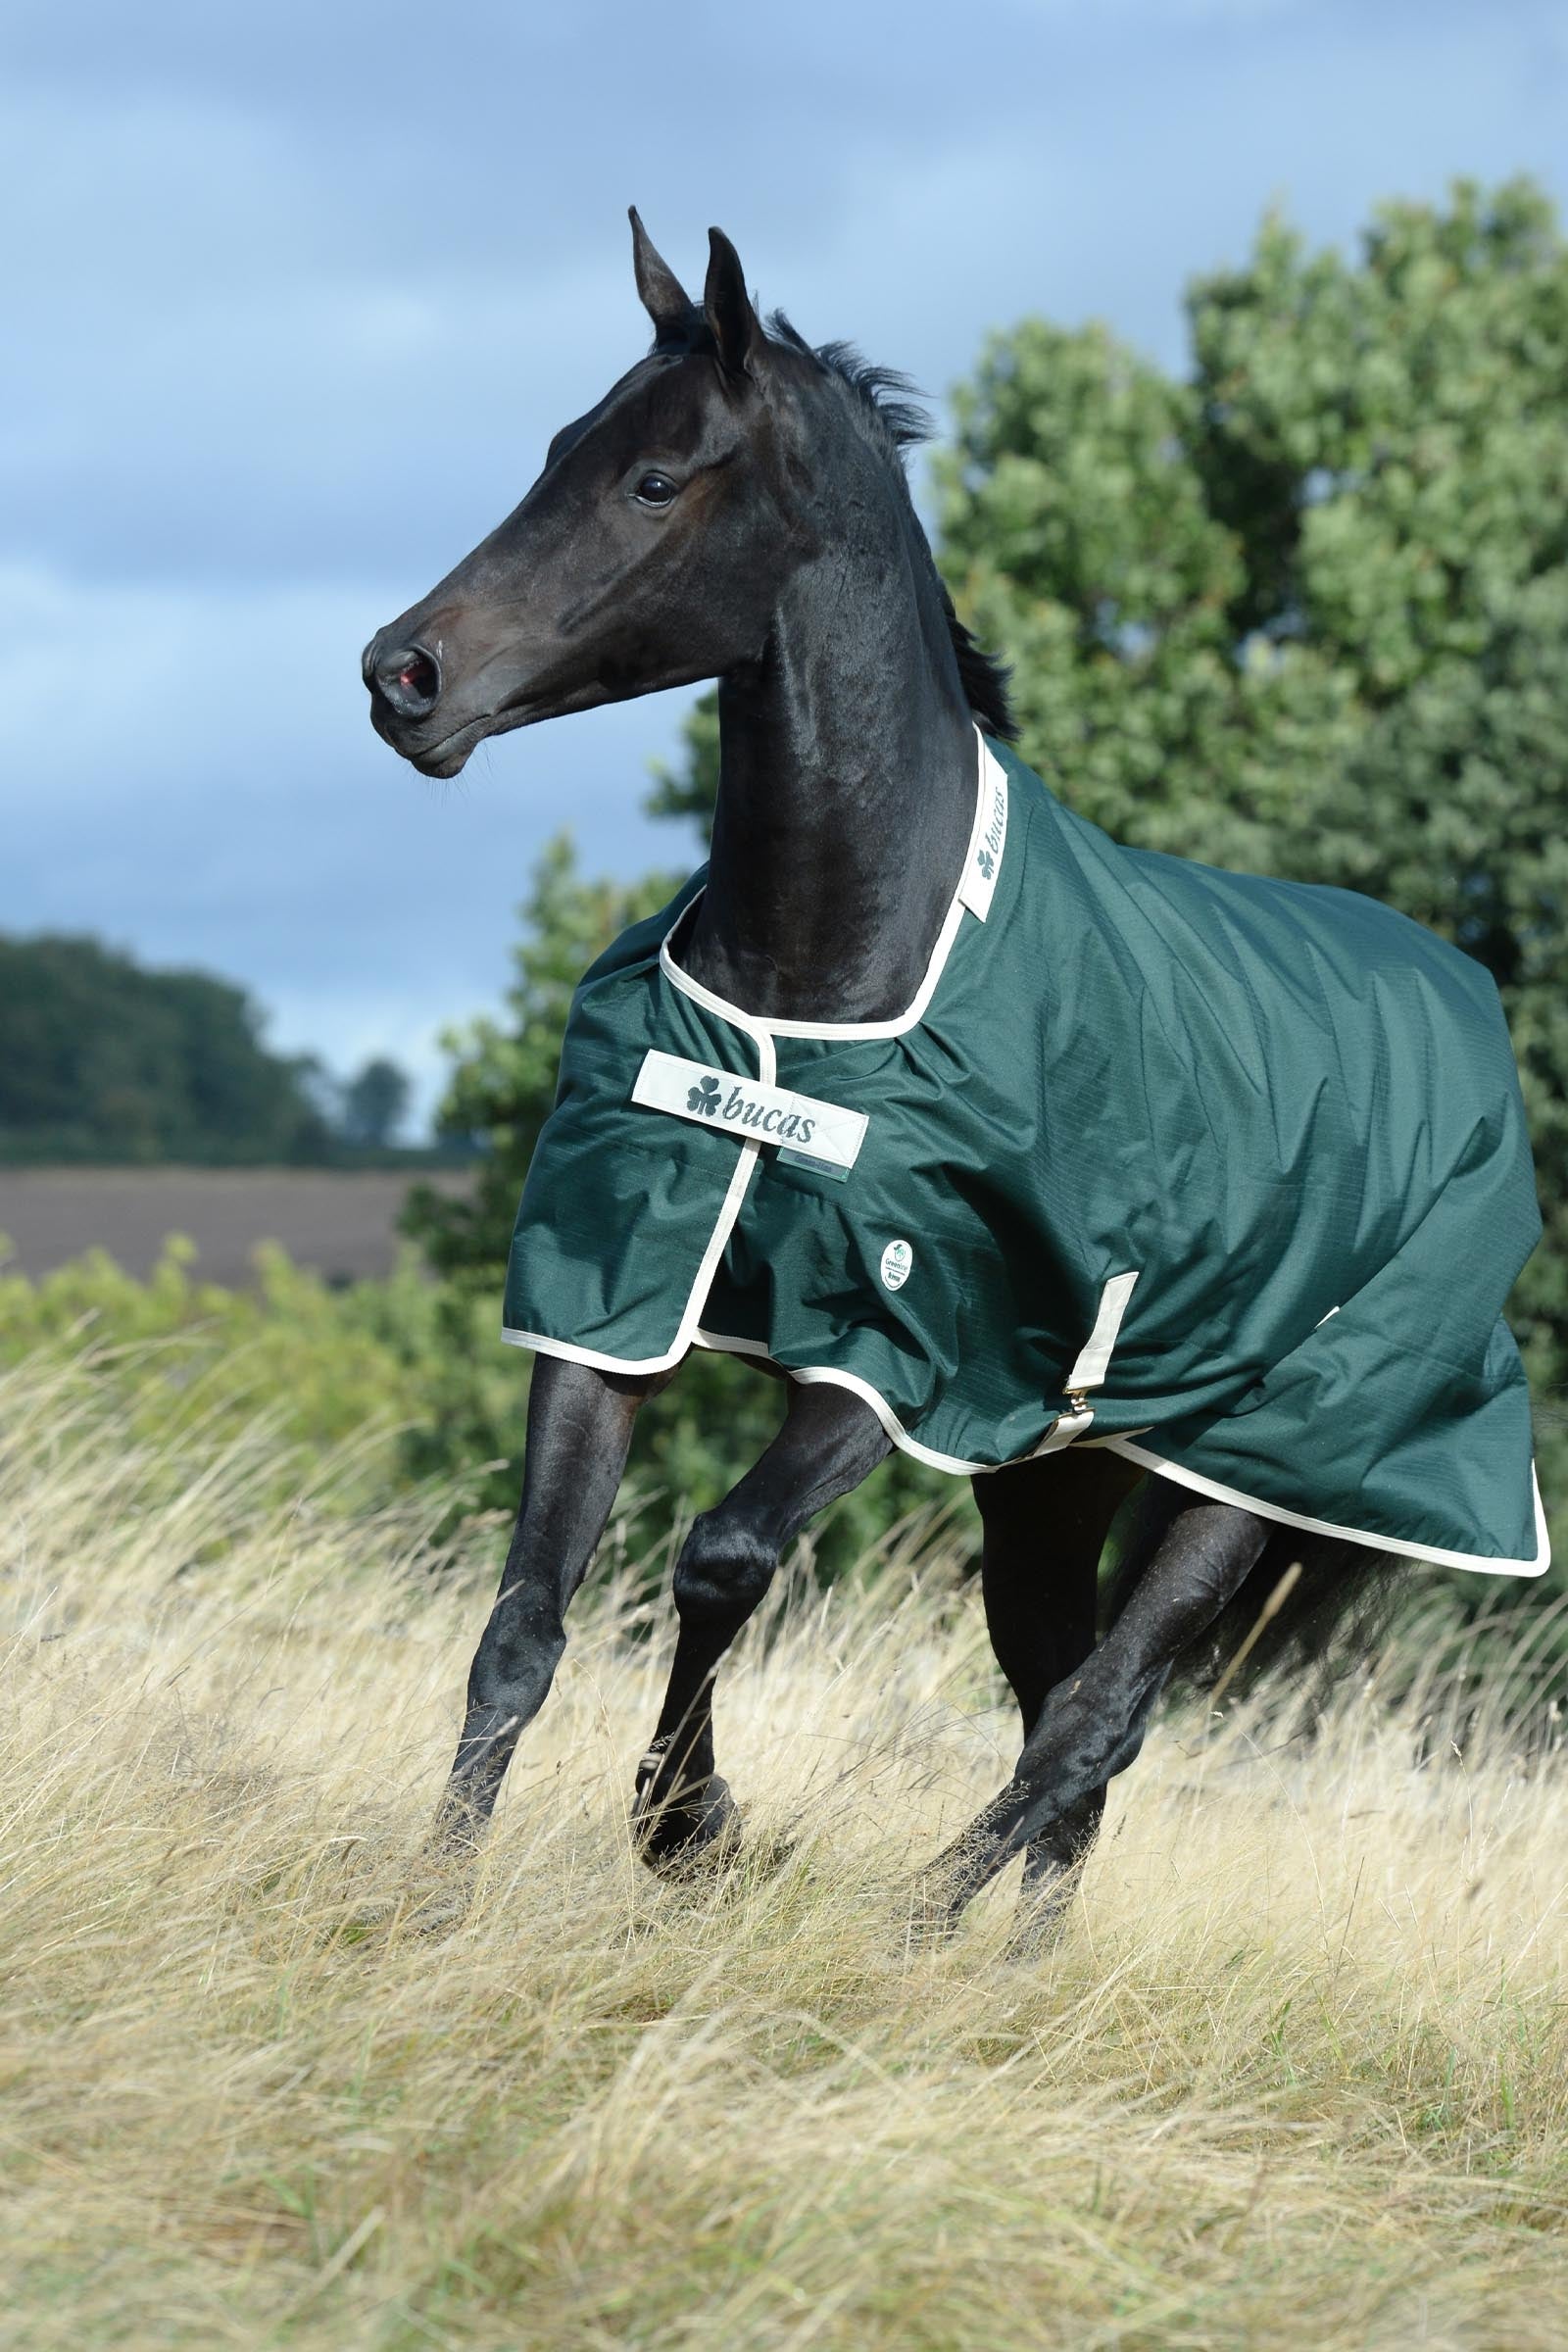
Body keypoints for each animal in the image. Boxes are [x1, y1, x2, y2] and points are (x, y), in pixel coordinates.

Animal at [362, 214, 1546, 1937]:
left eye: (654, 478)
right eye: (555, 449)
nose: (405, 677)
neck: (826, 984)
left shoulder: (903, 1356)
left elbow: (721, 1558)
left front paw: (692, 1830)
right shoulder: (609, 1303)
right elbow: (523, 1619)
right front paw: (430, 1900)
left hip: (1259, 1475)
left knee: (1095, 1719)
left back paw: (915, 1933)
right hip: (1054, 1485)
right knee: (1067, 1716)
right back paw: (1008, 1970)